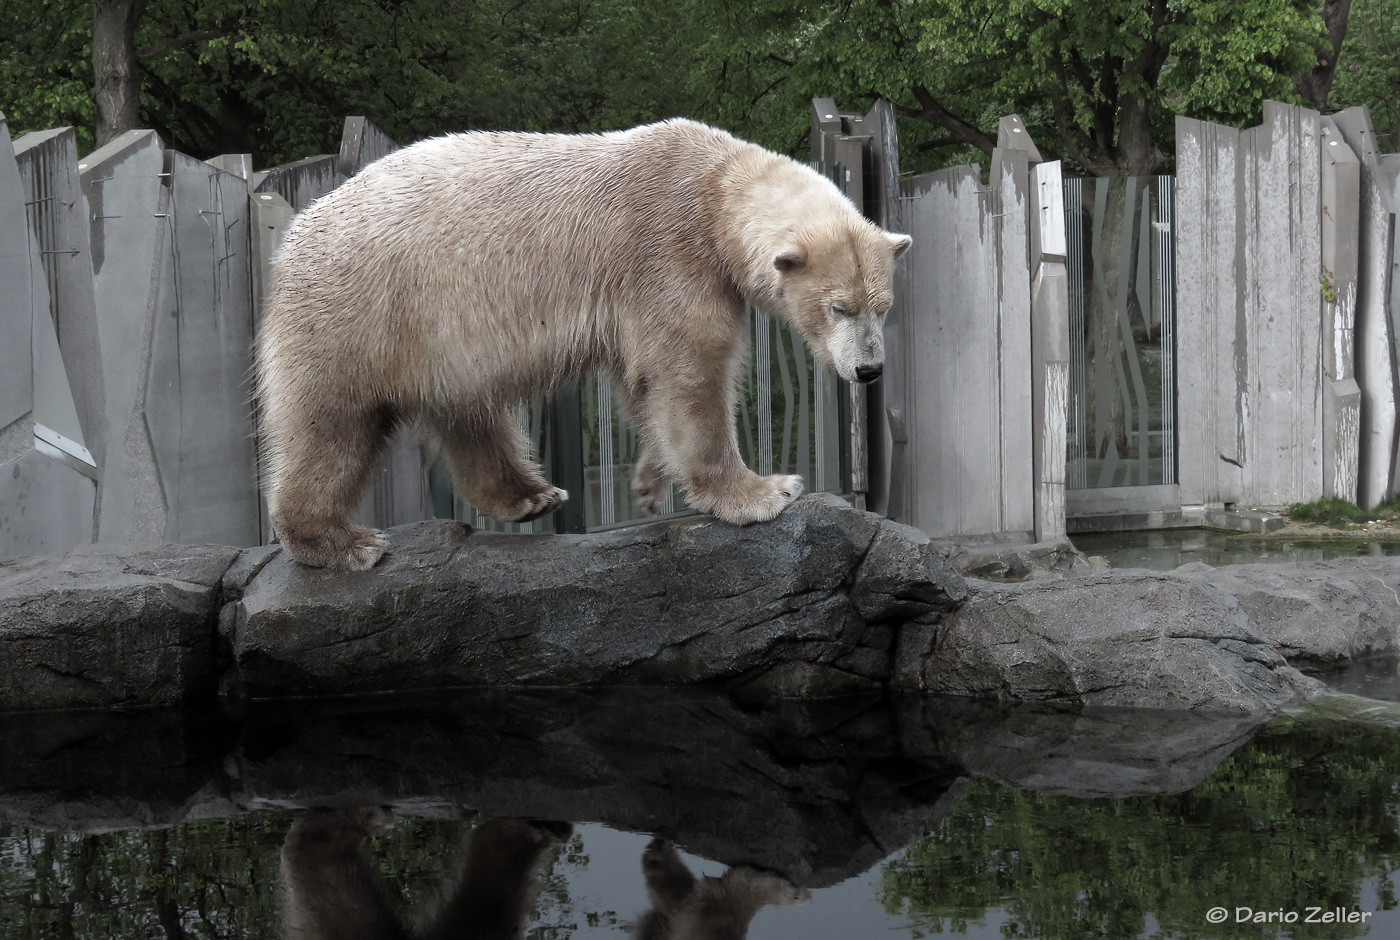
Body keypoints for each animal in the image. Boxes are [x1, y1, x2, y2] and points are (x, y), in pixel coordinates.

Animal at [257, 120, 912, 568]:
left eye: (882, 307)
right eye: (839, 307)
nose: (871, 371)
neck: (713, 186)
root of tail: (292, 235)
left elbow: (642, 379)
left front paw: (649, 481)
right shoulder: (669, 252)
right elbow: (689, 368)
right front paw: (763, 491)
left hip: (439, 337)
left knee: (471, 410)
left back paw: (530, 494)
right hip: (361, 309)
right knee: (332, 421)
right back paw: (340, 542)